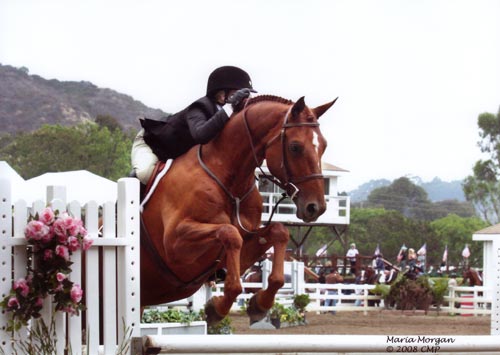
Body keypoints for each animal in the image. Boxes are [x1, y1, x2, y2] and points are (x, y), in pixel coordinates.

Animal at [139, 94, 338, 326]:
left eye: (323, 146)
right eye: (295, 147)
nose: (316, 208)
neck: (228, 180)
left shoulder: (247, 242)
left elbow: (279, 233)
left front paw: (259, 304)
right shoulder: (174, 245)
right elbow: (230, 235)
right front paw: (216, 309)